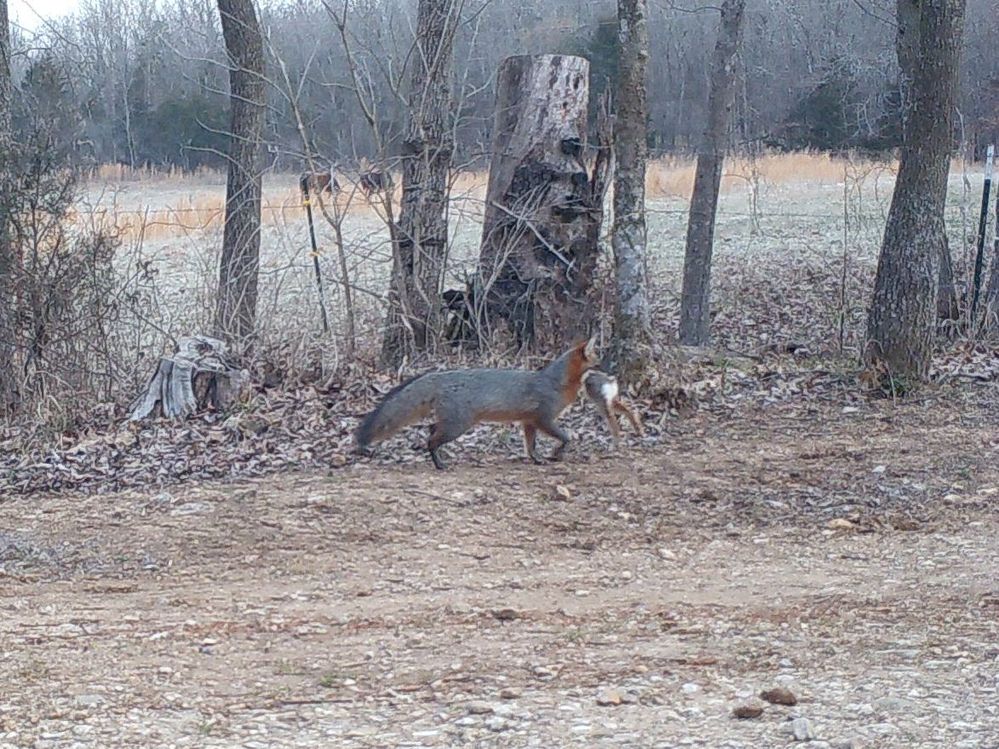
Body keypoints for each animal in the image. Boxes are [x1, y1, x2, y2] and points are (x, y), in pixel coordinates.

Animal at [356, 338, 596, 468]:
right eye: (599, 360)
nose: (606, 368)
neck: (555, 381)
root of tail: (441, 375)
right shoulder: (543, 419)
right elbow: (566, 437)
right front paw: (557, 453)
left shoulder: (528, 422)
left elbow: (531, 446)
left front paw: (537, 459)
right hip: (457, 426)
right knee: (431, 440)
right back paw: (439, 464)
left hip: (451, 423)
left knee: (430, 429)